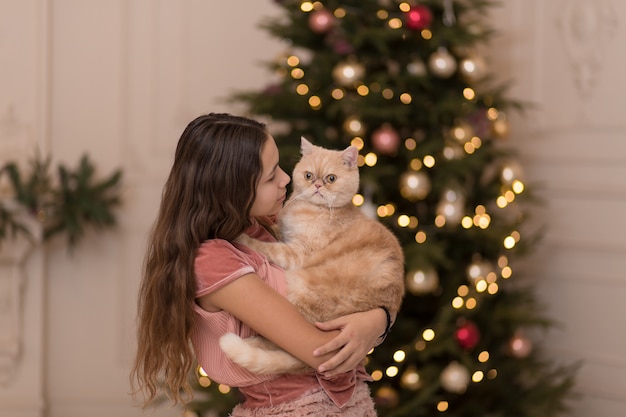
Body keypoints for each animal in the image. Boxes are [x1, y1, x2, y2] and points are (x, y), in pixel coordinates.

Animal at [219, 136, 404, 374]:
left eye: (330, 179)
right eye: (308, 175)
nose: (317, 185)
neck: (311, 208)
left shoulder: (296, 254)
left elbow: (264, 246)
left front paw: (241, 236)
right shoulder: (284, 234)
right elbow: (273, 228)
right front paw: (260, 221)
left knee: (278, 341)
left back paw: (250, 342)